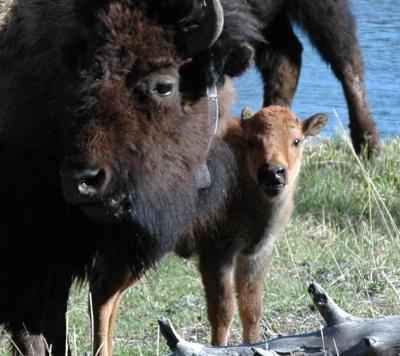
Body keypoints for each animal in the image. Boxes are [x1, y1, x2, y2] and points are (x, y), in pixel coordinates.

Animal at [178, 105, 328, 344]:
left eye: (296, 140)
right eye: (251, 141)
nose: (273, 172)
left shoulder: (256, 252)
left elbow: (251, 309)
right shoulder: (217, 252)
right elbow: (223, 311)